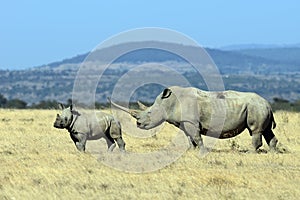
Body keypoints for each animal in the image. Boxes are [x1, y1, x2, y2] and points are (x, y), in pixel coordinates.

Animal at [109, 86, 278, 153]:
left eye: (149, 113)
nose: (138, 124)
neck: (168, 103)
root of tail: (268, 103)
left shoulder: (191, 122)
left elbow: (196, 136)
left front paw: (202, 151)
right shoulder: (184, 123)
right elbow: (190, 138)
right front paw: (191, 150)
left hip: (255, 107)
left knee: (255, 130)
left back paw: (251, 152)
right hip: (259, 107)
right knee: (267, 131)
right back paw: (273, 152)